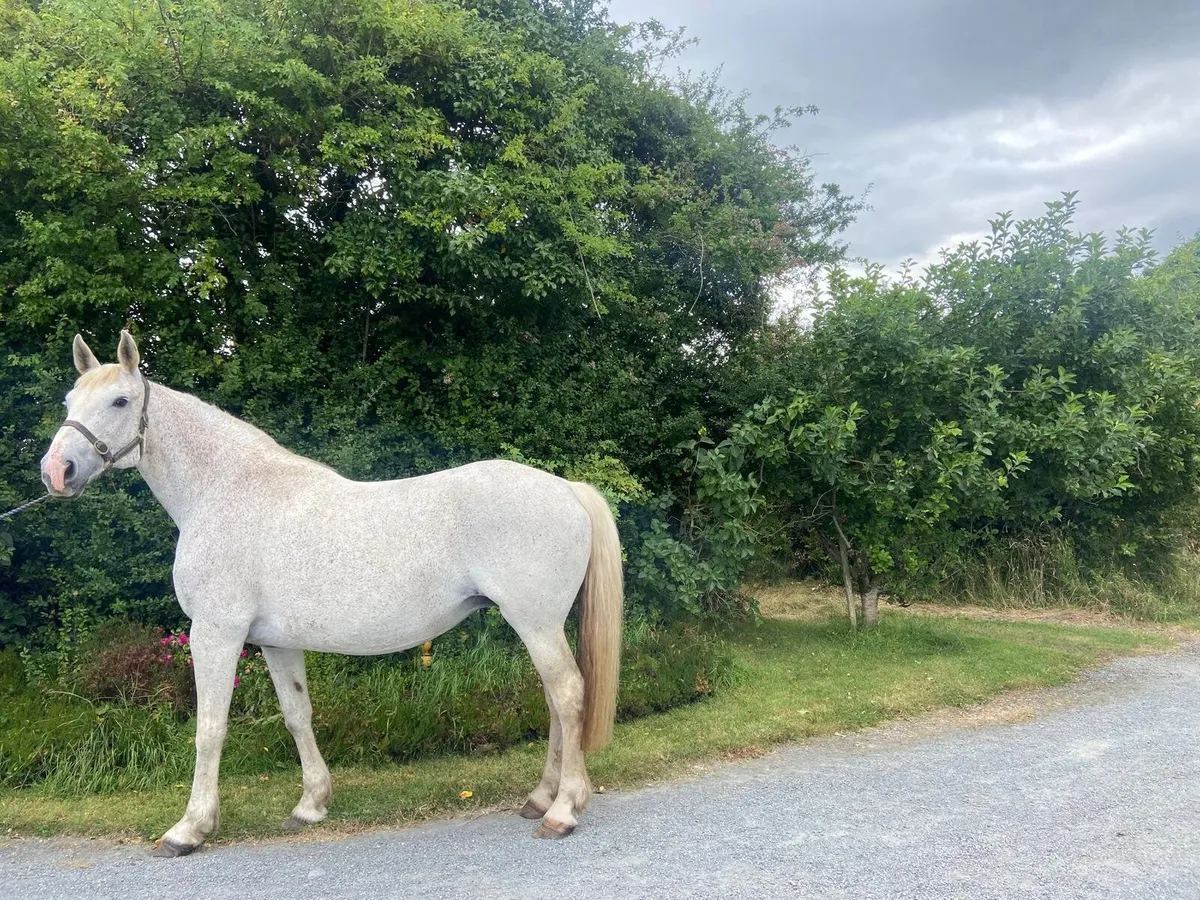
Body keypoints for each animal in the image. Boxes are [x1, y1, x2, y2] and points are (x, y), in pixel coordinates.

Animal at [38, 330, 623, 857]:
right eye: (69, 401)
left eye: (120, 400)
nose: (56, 472)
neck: (225, 491)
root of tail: (566, 488)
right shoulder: (274, 643)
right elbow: (297, 715)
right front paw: (311, 804)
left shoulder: (215, 633)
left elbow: (209, 728)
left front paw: (190, 829)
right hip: (535, 623)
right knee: (554, 700)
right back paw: (540, 797)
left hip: (535, 621)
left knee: (567, 694)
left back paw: (563, 811)